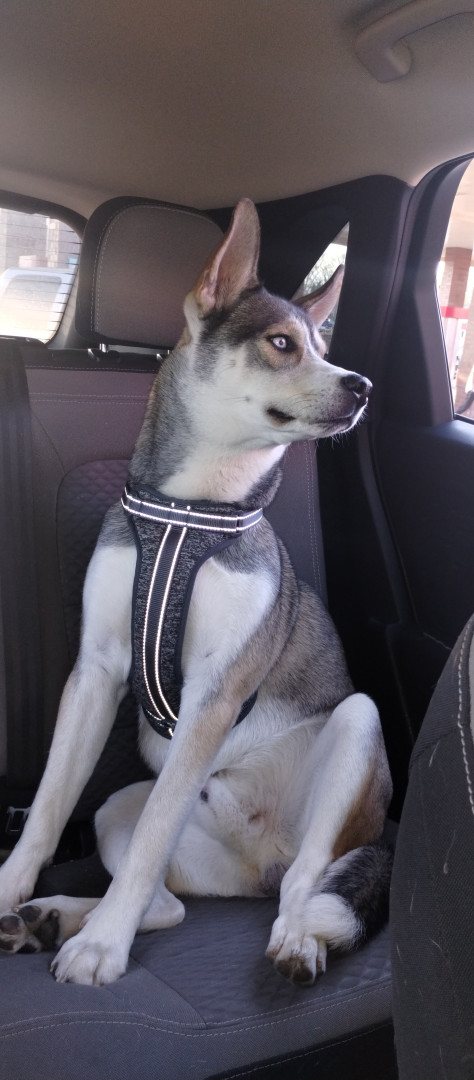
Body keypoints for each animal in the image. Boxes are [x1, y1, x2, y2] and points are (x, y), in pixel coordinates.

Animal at [0, 198, 392, 986]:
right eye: (282, 343)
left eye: (322, 344)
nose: (362, 385)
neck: (190, 510)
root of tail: (259, 858)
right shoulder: (96, 671)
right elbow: (53, 803)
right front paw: (15, 892)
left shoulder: (215, 693)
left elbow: (157, 834)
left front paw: (104, 949)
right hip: (115, 811)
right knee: (167, 902)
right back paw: (52, 916)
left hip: (357, 728)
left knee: (305, 881)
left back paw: (297, 936)